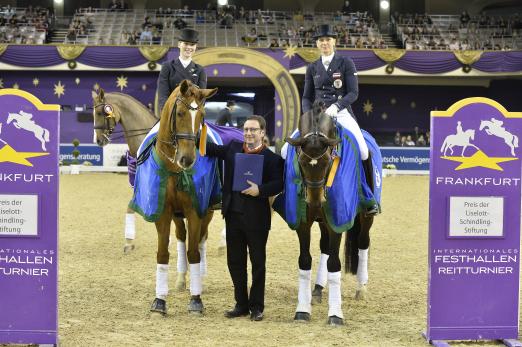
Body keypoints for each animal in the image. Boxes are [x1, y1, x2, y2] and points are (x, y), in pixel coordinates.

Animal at [284, 102, 374, 328]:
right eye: (302, 162)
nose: (315, 203)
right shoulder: (304, 223)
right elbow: (304, 261)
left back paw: (361, 288)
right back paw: (317, 290)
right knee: (324, 247)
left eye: (327, 162)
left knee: (363, 243)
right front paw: (302, 310)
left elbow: (334, 264)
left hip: (365, 217)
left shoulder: (337, 221)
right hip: (324, 220)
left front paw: (335, 314)